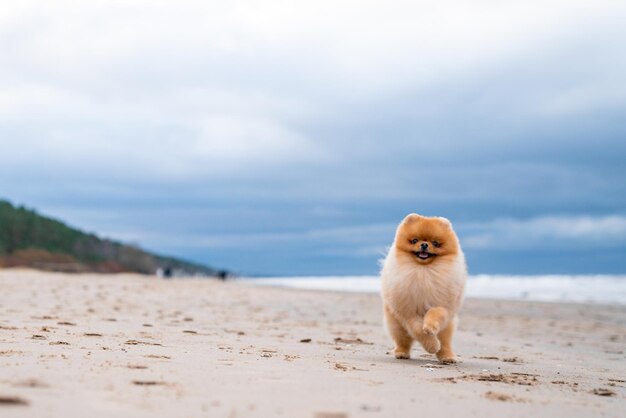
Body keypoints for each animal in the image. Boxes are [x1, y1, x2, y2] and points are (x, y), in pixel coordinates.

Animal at [378, 214, 466, 364]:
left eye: (435, 243)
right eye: (414, 240)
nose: (424, 244)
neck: (424, 271)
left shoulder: (443, 305)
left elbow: (435, 313)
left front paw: (430, 328)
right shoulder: (408, 313)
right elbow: (418, 330)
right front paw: (432, 345)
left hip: (447, 327)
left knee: (445, 343)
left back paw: (447, 357)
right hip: (396, 324)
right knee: (402, 340)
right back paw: (401, 353)